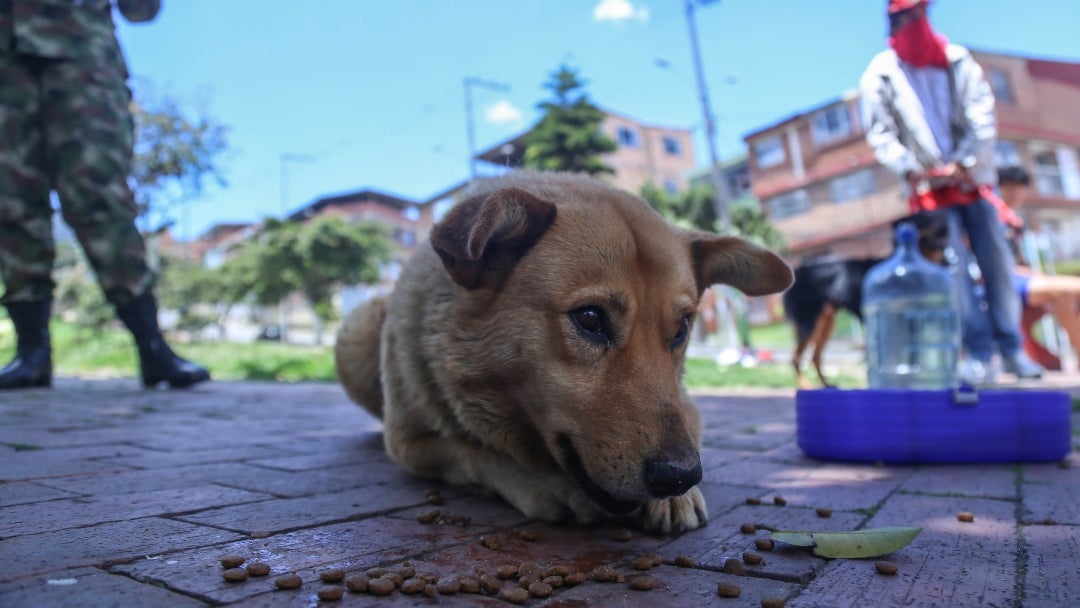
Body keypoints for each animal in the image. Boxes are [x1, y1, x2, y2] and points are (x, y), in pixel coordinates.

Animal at [334, 170, 794, 533]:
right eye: (590, 318)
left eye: (682, 329)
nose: (679, 477)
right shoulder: (409, 443)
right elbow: (473, 453)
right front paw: (543, 483)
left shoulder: (687, 406)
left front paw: (675, 499)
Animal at [786, 211, 946, 388]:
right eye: (922, 219)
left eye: (934, 216)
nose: (944, 223)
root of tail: (797, 270)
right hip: (808, 322)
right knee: (796, 358)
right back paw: (805, 385)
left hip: (825, 322)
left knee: (815, 355)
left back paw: (827, 385)